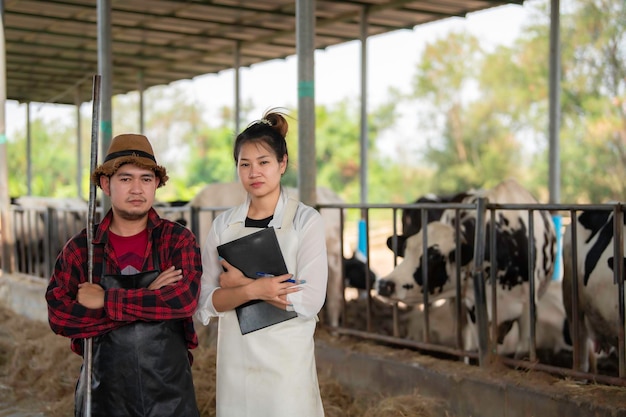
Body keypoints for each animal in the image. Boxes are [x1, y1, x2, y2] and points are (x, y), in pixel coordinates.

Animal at [376, 179, 556, 358]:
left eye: (434, 257)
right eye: (405, 251)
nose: (384, 284)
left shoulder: (528, 309)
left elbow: (522, 353)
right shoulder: (474, 310)